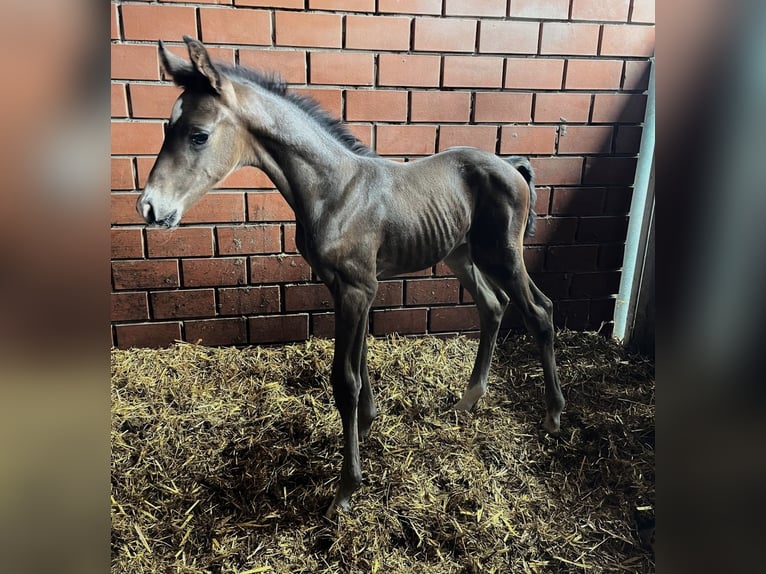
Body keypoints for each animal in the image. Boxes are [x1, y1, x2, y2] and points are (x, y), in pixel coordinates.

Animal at [138, 38, 568, 520]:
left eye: (199, 135)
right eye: (165, 127)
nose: (150, 208)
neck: (333, 190)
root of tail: (511, 164)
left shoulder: (357, 288)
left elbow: (344, 379)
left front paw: (346, 488)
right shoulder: (346, 286)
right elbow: (360, 359)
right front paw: (367, 424)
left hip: (503, 254)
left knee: (539, 310)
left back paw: (552, 415)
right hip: (460, 254)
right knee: (493, 306)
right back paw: (468, 399)